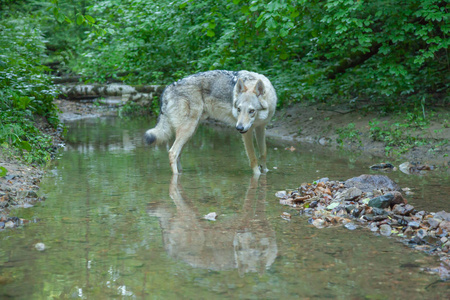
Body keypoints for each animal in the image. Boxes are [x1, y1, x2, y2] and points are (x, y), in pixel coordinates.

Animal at [146, 70, 276, 176]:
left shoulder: (260, 128)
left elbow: (263, 153)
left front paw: (265, 172)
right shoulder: (247, 133)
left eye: (251, 111)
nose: (239, 128)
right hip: (188, 130)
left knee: (178, 155)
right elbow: (253, 157)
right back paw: (176, 176)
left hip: (190, 132)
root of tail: (167, 88)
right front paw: (258, 175)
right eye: (239, 109)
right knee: (172, 153)